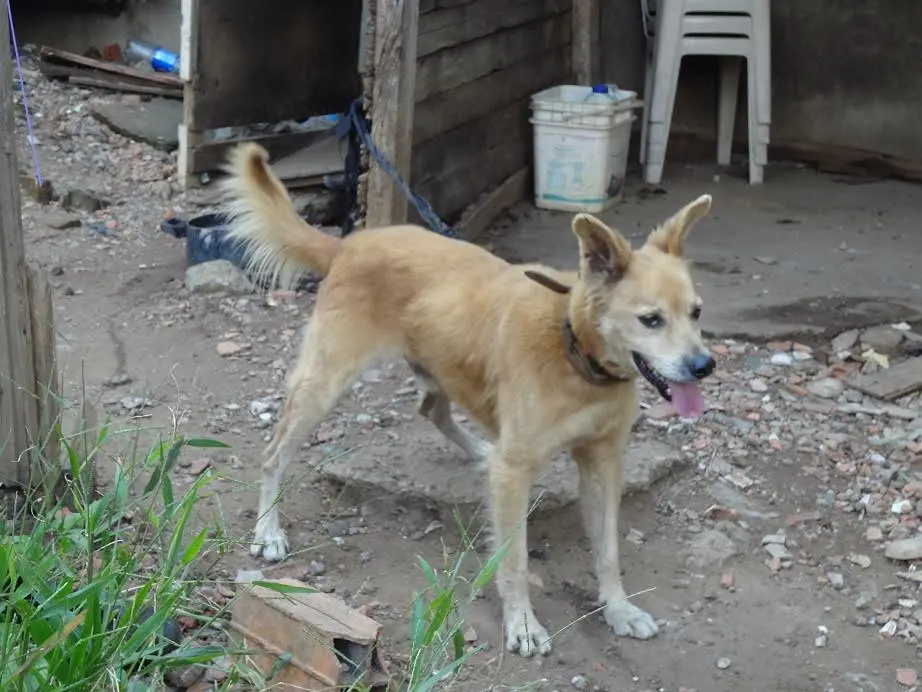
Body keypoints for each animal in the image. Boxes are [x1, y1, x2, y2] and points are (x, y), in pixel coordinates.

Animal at [219, 142, 716, 660]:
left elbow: (608, 550)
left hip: (441, 365)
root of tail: (350, 245)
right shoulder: (515, 472)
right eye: (651, 320)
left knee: (432, 409)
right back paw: (268, 532)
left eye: (697, 313)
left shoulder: (603, 461)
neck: (573, 350)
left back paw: (478, 450)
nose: (705, 366)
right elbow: (514, 559)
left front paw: (619, 609)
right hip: (323, 385)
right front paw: (522, 624)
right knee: (274, 455)